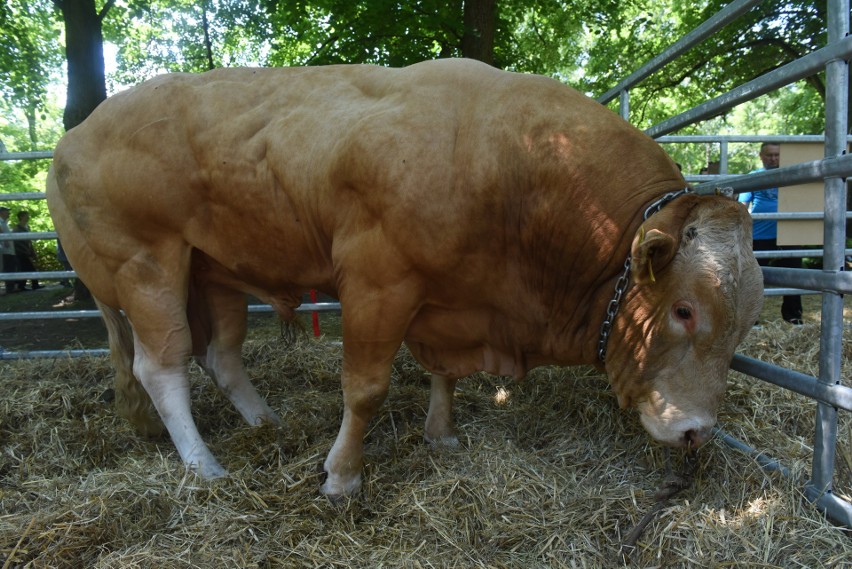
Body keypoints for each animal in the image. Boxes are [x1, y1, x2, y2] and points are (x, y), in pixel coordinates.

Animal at [48, 56, 764, 492]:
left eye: (746, 323)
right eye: (684, 310)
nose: (697, 431)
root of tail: (73, 136)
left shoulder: (449, 299)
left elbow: (443, 372)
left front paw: (440, 434)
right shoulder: (377, 280)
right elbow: (365, 388)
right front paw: (341, 476)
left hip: (213, 274)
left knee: (221, 357)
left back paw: (264, 423)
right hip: (146, 265)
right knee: (160, 367)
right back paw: (205, 466)